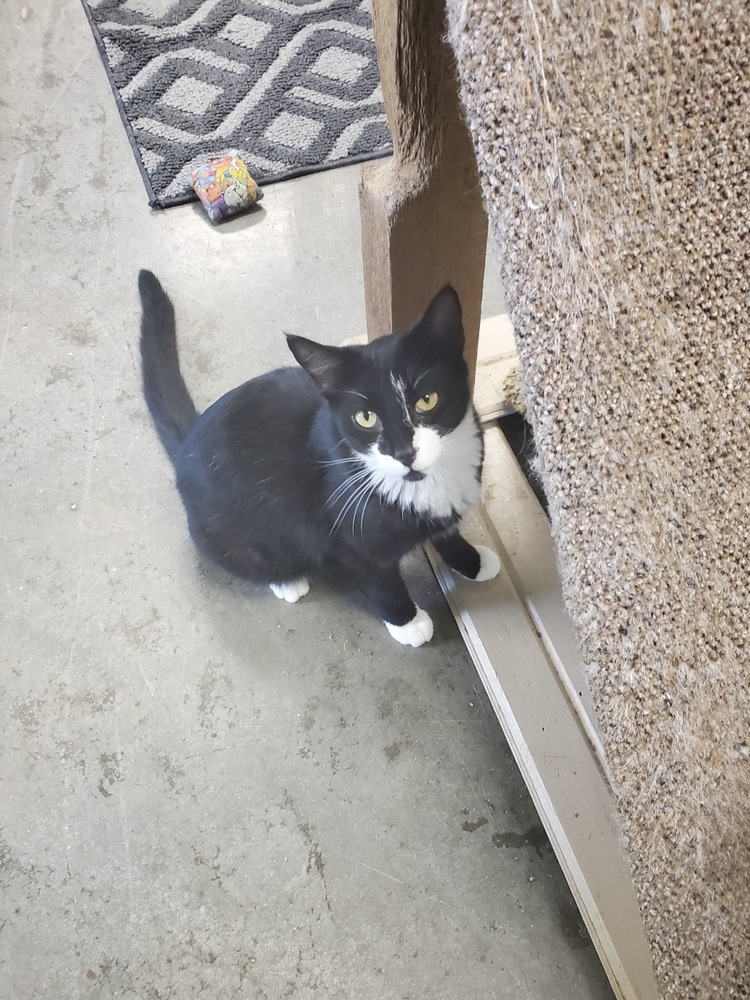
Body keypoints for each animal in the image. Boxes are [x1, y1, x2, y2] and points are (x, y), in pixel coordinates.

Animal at [138, 274, 502, 648]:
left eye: (427, 400)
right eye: (366, 418)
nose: (404, 454)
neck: (424, 483)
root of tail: (186, 446)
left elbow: (447, 534)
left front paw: (472, 560)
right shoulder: (344, 532)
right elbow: (379, 580)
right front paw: (407, 621)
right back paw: (287, 580)